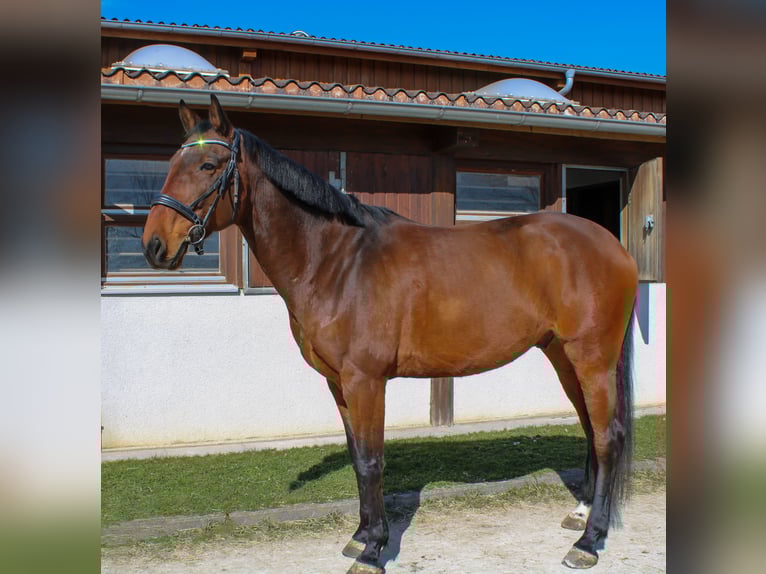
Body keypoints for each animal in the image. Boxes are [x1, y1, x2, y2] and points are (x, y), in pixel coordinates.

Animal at [142, 94, 638, 572]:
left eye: (208, 166)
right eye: (170, 162)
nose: (153, 245)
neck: (336, 262)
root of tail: (613, 246)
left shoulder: (366, 381)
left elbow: (371, 461)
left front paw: (373, 550)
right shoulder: (339, 384)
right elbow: (357, 457)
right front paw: (360, 536)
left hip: (592, 358)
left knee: (608, 436)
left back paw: (588, 541)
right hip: (563, 356)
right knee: (591, 427)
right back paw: (580, 513)